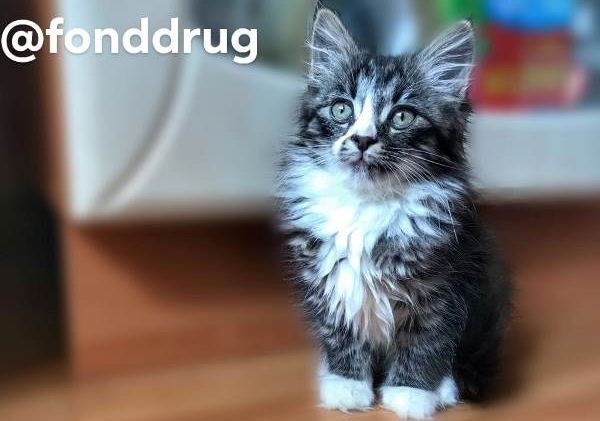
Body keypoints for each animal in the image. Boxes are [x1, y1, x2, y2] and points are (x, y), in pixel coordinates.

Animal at [278, 7, 512, 420]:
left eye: (402, 117)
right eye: (341, 109)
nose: (362, 139)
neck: (367, 206)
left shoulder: (443, 285)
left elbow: (426, 339)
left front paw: (411, 393)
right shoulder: (326, 280)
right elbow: (339, 333)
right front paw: (347, 384)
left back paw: (444, 387)